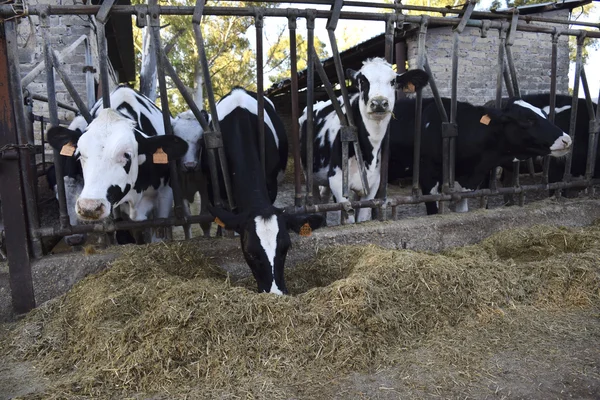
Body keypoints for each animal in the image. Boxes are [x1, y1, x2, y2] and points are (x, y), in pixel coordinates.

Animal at [171, 110, 211, 238]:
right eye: (177, 141)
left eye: (200, 139)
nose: (190, 165)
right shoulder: (179, 190)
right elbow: (186, 221)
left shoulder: (205, 189)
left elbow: (205, 220)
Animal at [298, 57, 428, 223]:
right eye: (362, 81)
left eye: (393, 81)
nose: (379, 102)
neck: (368, 153)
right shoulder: (337, 181)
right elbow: (348, 218)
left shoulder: (373, 185)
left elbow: (363, 217)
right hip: (309, 173)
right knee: (317, 199)